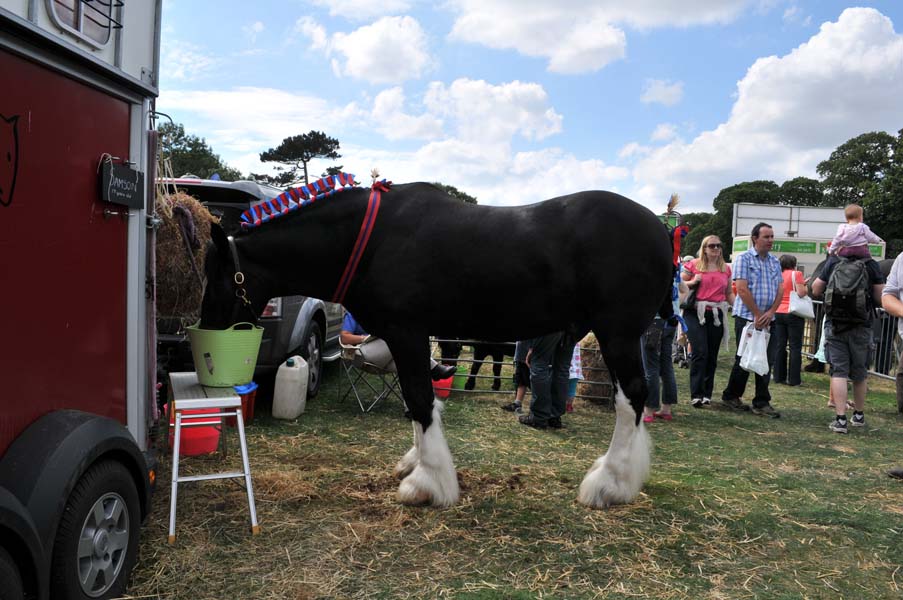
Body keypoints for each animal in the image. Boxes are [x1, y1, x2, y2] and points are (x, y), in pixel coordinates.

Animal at [203, 180, 672, 508]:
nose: (204, 340)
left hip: (617, 333)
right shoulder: (411, 337)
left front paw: (426, 483)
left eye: (216, 279)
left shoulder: (406, 331)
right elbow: (418, 400)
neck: (371, 240)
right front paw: (415, 463)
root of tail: (659, 227)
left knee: (633, 397)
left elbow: (420, 399)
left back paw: (609, 483)